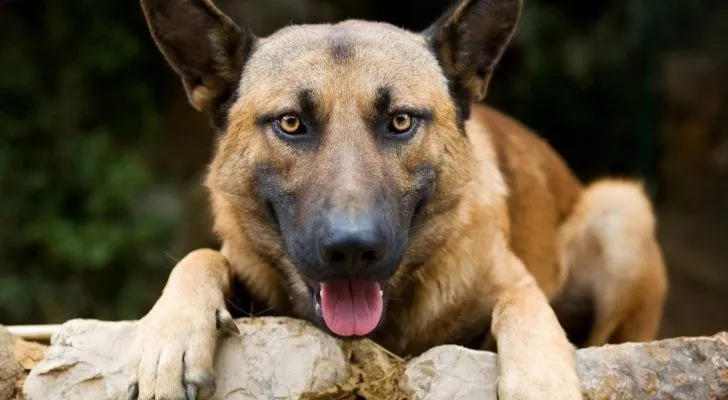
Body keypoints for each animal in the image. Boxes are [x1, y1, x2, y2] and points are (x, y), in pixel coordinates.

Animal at [125, 0, 664, 396]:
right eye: (291, 123)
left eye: (401, 121)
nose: (351, 250)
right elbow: (198, 257)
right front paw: (170, 339)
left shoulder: (513, 286)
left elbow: (523, 305)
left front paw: (541, 382)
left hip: (621, 211)